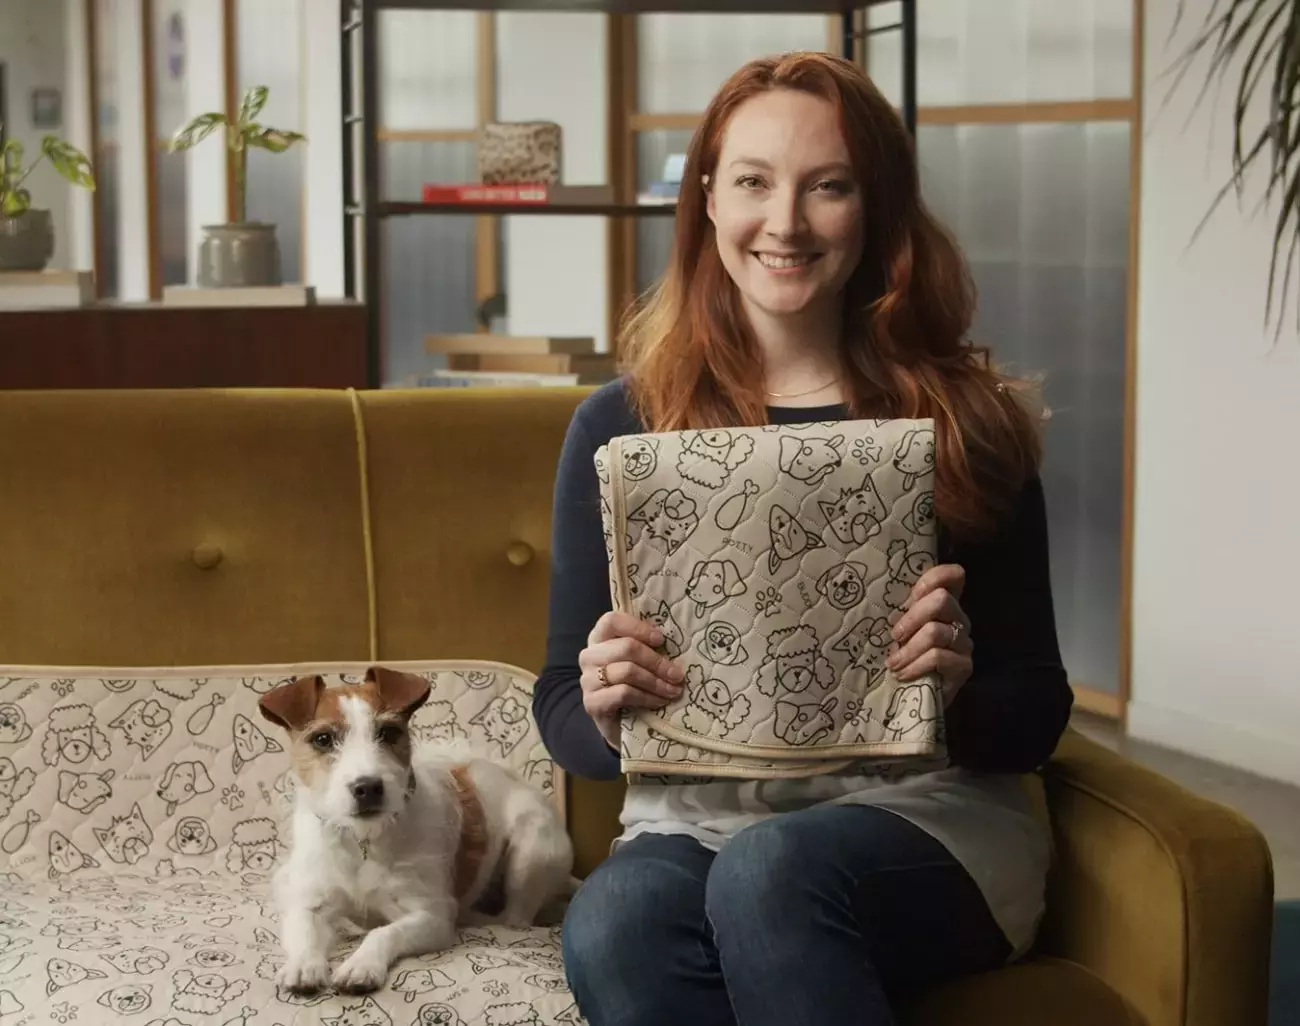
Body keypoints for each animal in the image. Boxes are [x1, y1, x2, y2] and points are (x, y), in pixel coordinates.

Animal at [256, 663, 572, 993]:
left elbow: (384, 932)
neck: (362, 840)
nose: (368, 788)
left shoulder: (431, 916)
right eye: (322, 739)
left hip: (530, 851)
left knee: (515, 917)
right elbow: (304, 931)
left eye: (388, 732)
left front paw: (361, 964)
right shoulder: (309, 904)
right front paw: (304, 965)